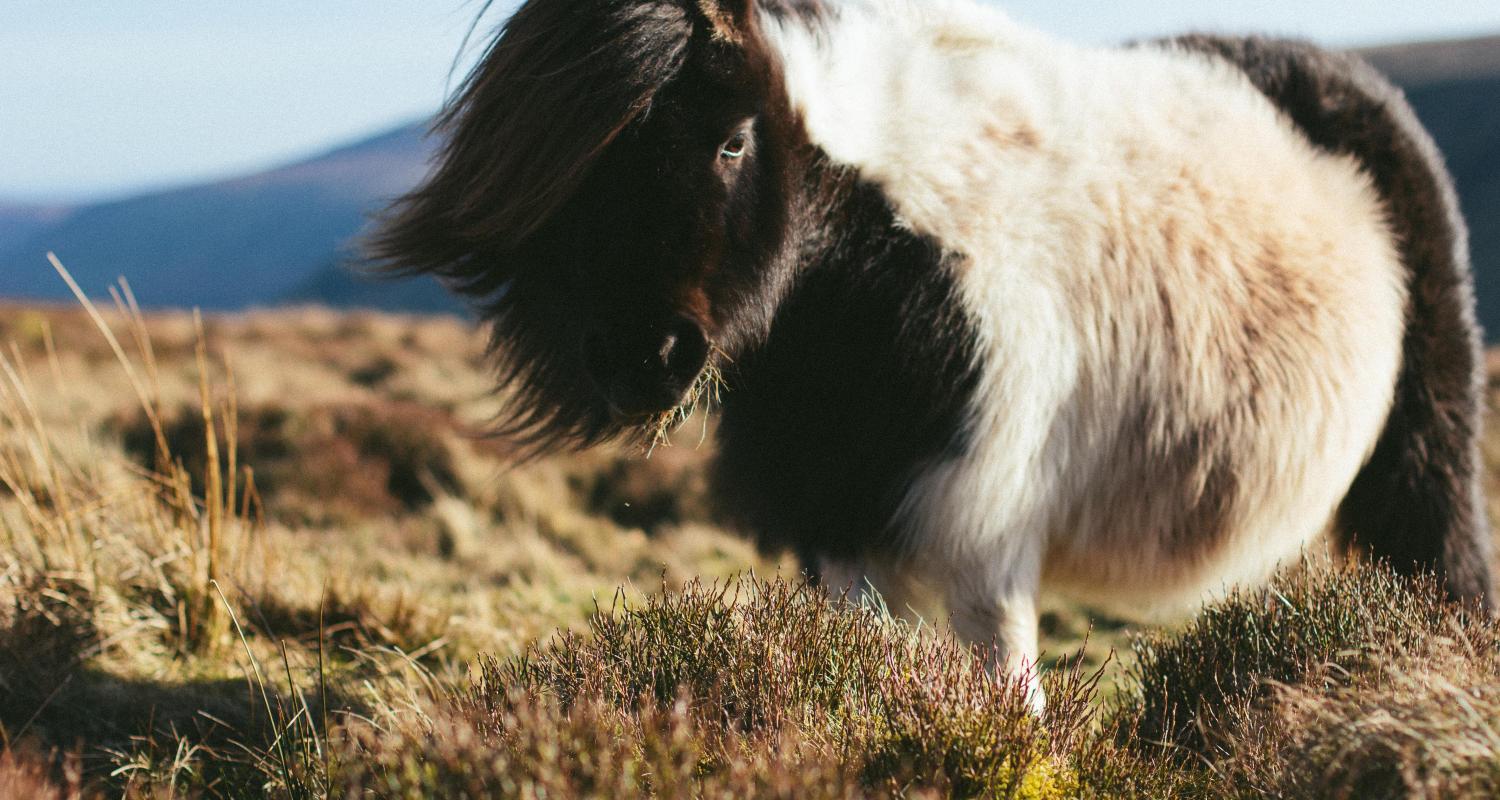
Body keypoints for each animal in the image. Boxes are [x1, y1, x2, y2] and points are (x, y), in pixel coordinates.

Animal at [369, 0, 1494, 699]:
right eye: (579, 174)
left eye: (731, 141)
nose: (646, 356)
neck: (882, 242)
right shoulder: (834, 516)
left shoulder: (980, 526)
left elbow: (1006, 694)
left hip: (1425, 449)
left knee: (1444, 559)